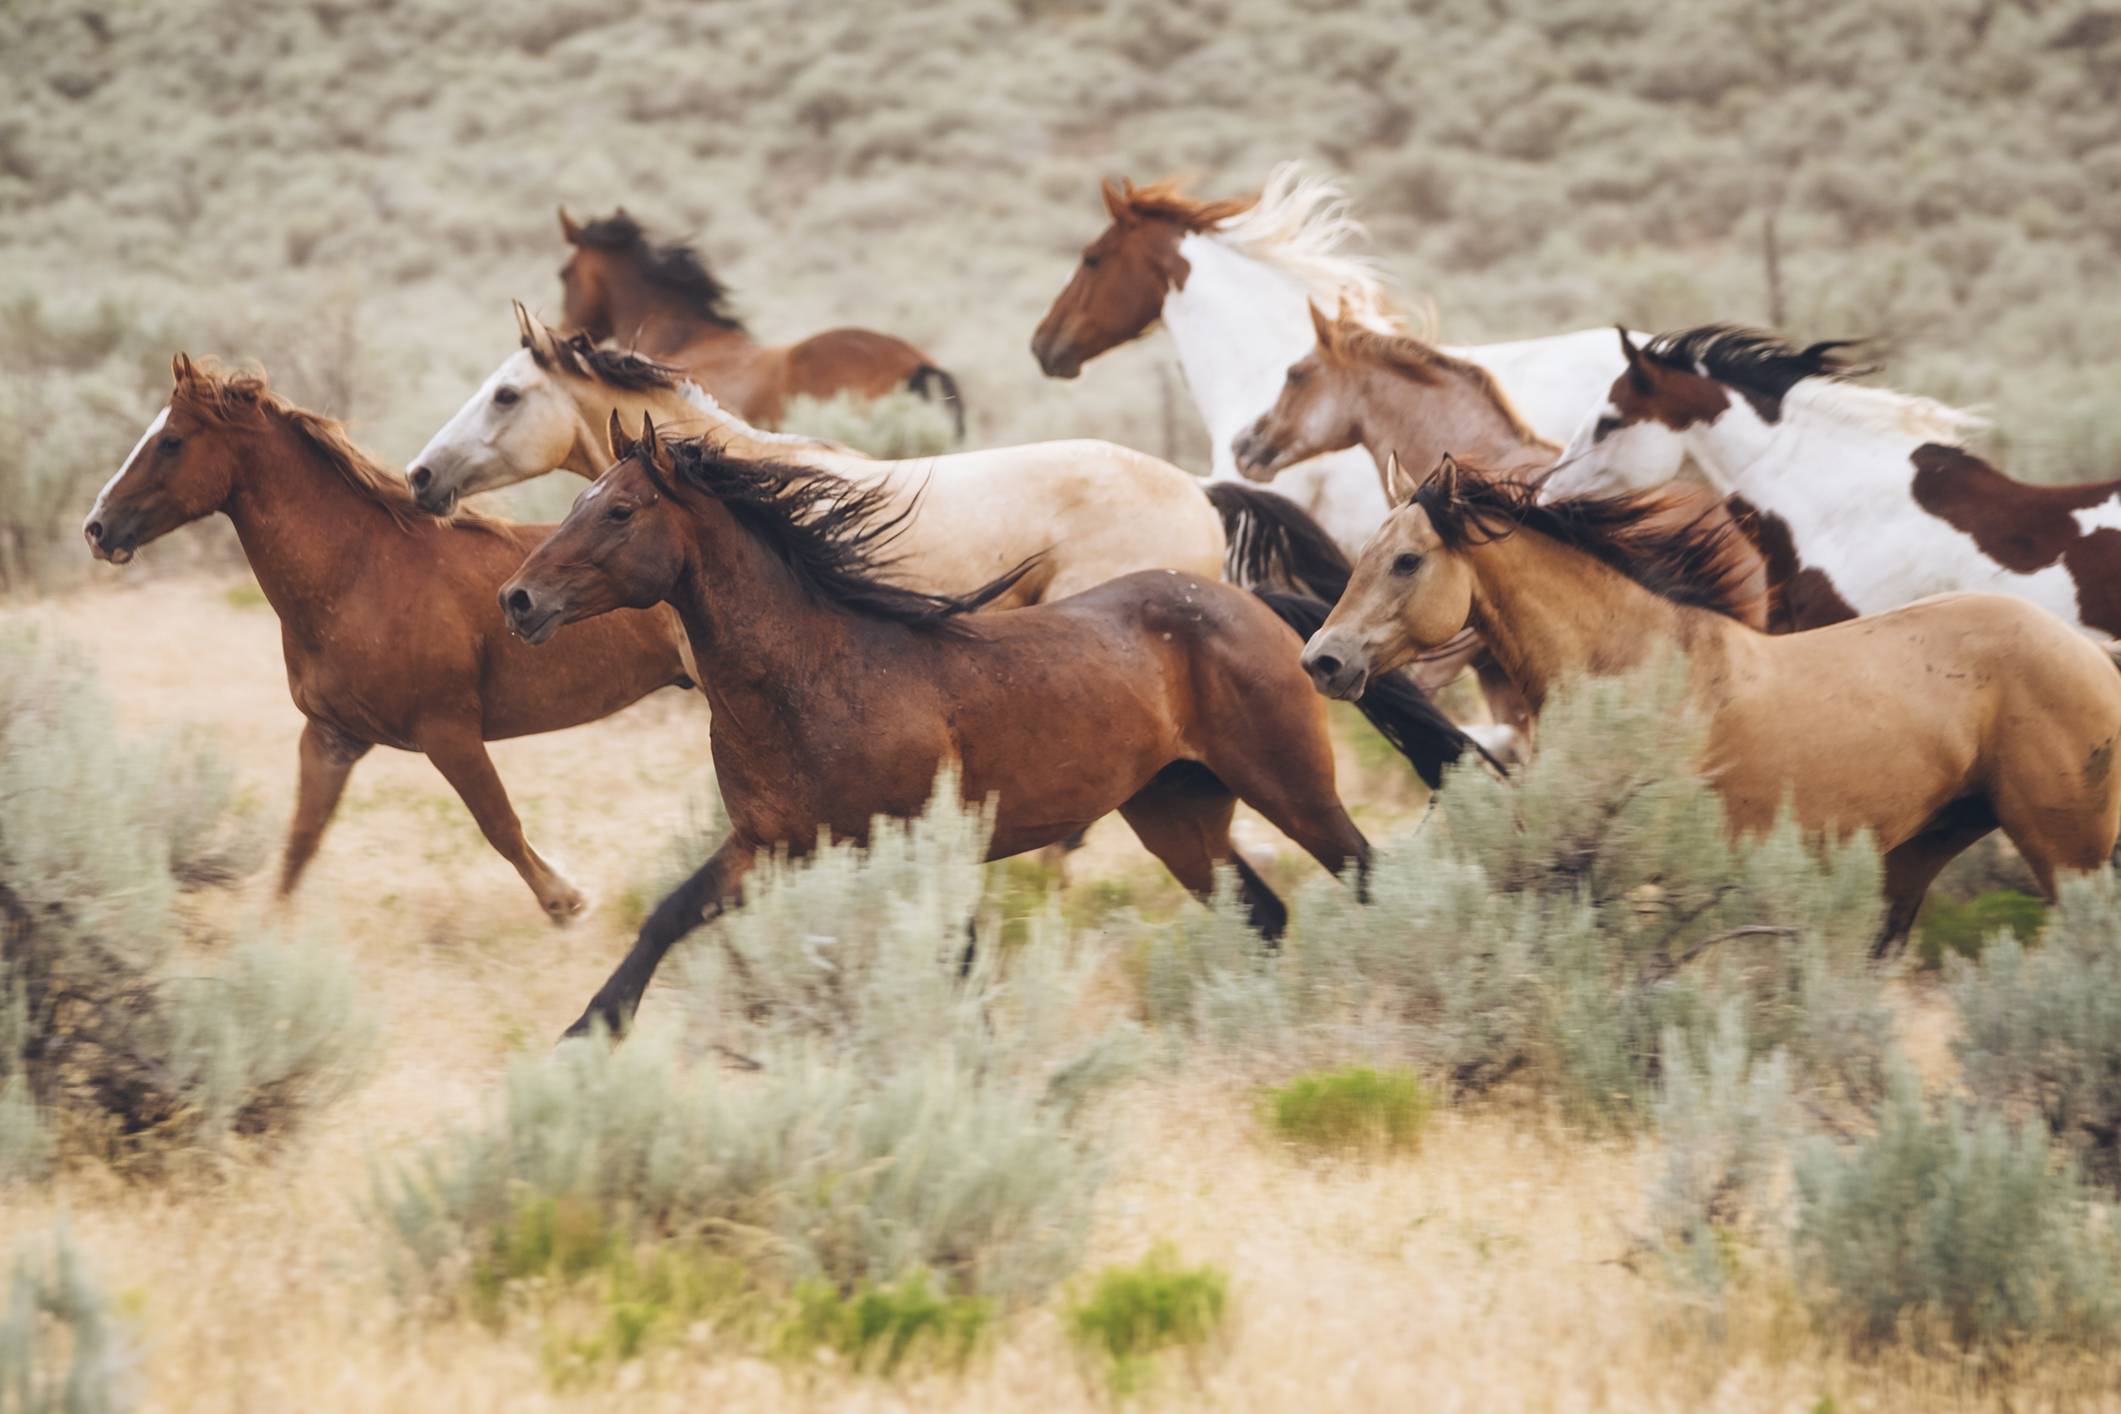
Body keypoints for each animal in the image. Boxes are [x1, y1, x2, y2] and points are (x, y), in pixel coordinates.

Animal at [81, 356, 698, 922]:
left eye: (171, 441)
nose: (97, 528)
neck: (359, 572)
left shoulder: (448, 731)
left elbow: (499, 824)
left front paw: (566, 901)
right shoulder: (331, 737)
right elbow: (300, 844)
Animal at [494, 422, 1468, 1037]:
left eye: (618, 511)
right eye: (578, 499)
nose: (517, 599)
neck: (815, 675)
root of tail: (1256, 608)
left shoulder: (923, 844)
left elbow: (957, 959)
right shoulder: (768, 843)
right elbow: (667, 917)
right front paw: (589, 1033)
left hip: (1289, 786)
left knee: (1364, 876)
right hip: (1176, 817)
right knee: (1263, 913)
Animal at [1301, 454, 2121, 957]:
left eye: (1407, 560)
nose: (1322, 660)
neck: (1637, 665)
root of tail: (2095, 660)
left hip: (2067, 855)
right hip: (1919, 852)